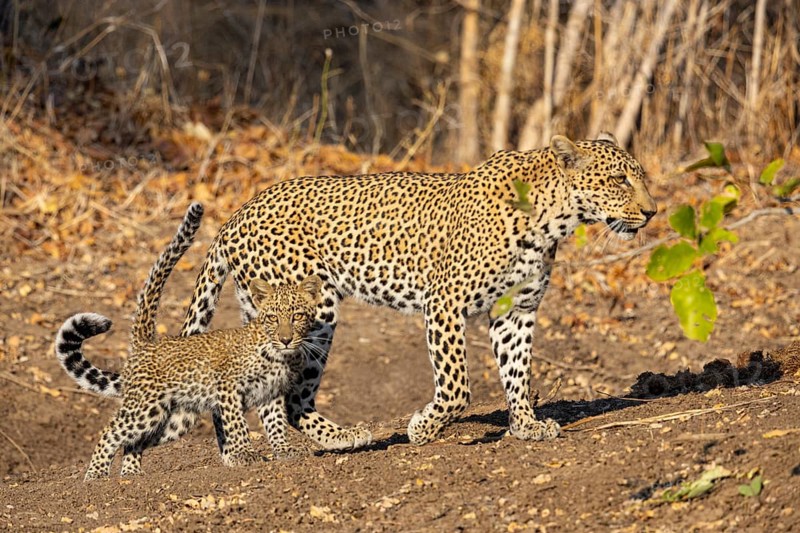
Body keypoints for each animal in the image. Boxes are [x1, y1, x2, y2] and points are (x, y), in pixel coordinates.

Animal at [54, 202, 322, 479]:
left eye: (297, 316)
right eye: (272, 317)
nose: (286, 339)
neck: (279, 356)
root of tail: (146, 345)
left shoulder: (272, 393)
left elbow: (276, 422)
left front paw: (285, 450)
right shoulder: (228, 386)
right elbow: (236, 423)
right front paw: (244, 454)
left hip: (176, 417)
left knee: (135, 442)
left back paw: (132, 475)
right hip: (144, 408)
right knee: (112, 431)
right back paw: (96, 476)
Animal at [176, 133, 657, 450]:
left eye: (638, 177)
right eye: (620, 180)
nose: (652, 212)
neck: (551, 220)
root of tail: (235, 215)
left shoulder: (516, 309)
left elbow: (518, 372)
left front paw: (526, 426)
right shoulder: (445, 302)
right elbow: (458, 385)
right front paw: (423, 428)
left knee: (272, 394)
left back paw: (286, 451)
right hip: (311, 311)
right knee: (293, 396)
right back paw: (344, 438)